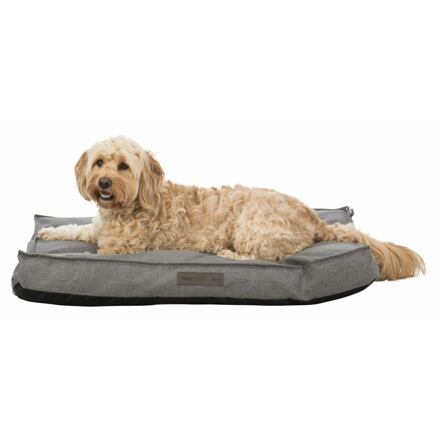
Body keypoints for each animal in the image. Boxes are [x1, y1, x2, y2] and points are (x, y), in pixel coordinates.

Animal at [38, 135, 425, 281]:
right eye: (99, 162)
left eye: (123, 167)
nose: (103, 183)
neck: (128, 205)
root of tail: (315, 218)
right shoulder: (97, 228)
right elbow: (75, 229)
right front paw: (49, 231)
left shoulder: (121, 248)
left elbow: (92, 252)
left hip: (251, 227)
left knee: (270, 257)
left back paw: (226, 254)